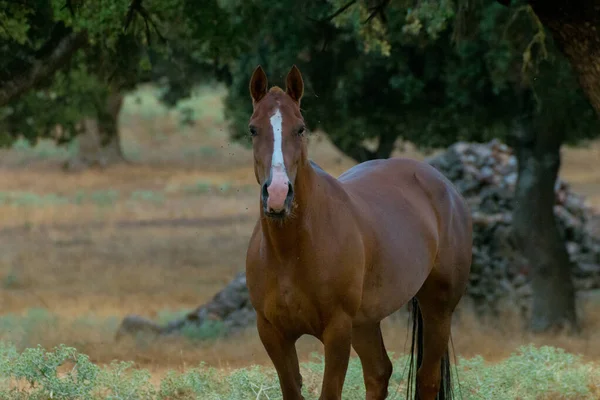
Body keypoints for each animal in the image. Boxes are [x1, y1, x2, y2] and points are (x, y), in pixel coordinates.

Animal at [245, 64, 474, 398]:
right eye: (253, 129)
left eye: (300, 128)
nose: (277, 194)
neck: (292, 250)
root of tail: (444, 185)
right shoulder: (273, 333)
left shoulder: (338, 330)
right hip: (366, 322)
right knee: (379, 373)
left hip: (438, 309)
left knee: (427, 378)